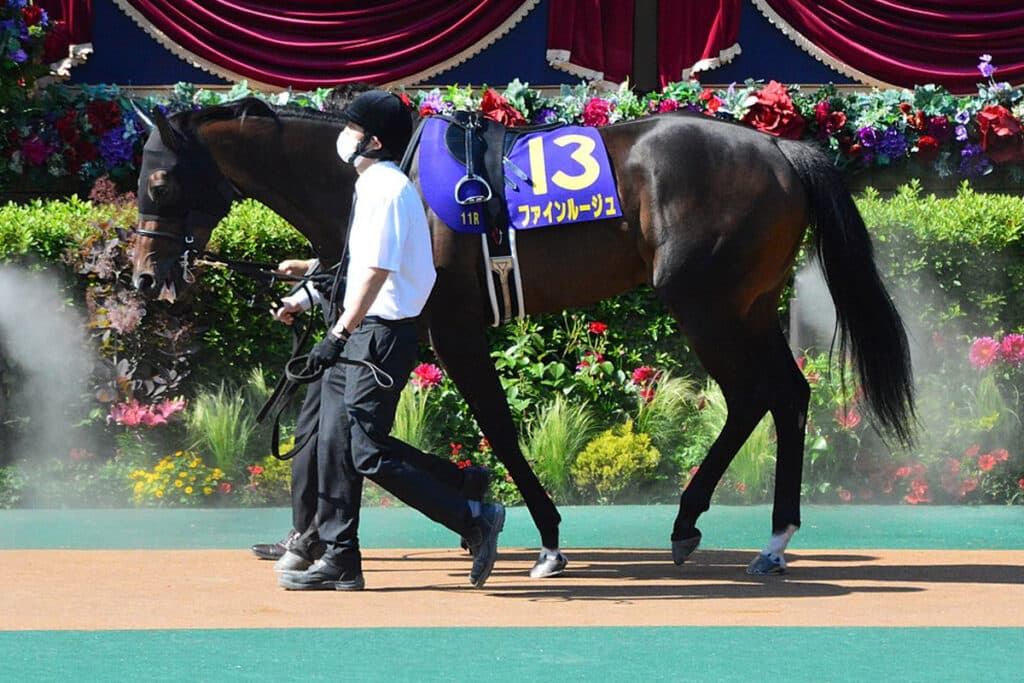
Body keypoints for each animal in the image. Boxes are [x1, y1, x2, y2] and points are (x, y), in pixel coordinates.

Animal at [131, 96, 915, 574]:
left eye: (160, 182)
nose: (142, 276)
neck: (384, 174)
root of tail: (784, 152)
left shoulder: (448, 328)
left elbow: (497, 430)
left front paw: (539, 535)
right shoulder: (404, 329)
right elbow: (343, 427)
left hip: (706, 303)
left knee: (760, 394)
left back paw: (729, 530)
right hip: (746, 305)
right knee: (782, 395)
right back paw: (744, 533)